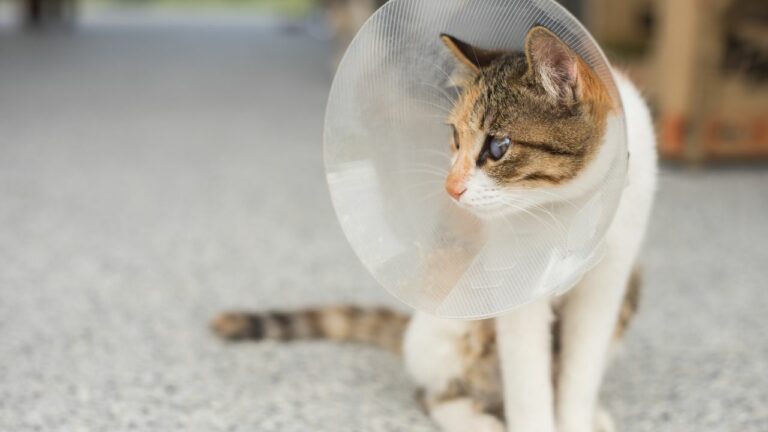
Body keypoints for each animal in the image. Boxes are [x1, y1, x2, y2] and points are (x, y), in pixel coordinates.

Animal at [213, 26, 656, 432]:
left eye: (498, 147)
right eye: (455, 136)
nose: (451, 187)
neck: (569, 207)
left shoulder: (608, 283)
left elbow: (579, 376)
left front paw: (578, 418)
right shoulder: (519, 291)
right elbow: (528, 386)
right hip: (457, 319)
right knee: (435, 393)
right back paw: (478, 421)